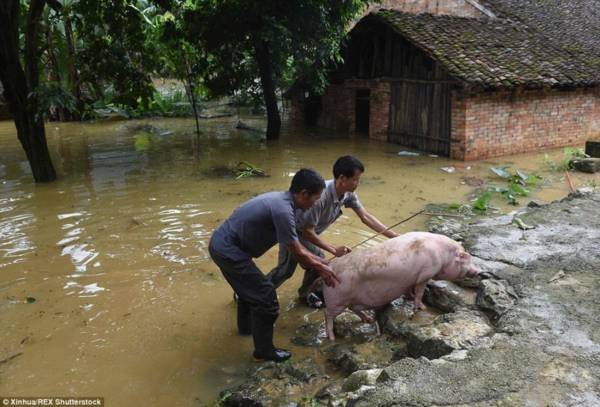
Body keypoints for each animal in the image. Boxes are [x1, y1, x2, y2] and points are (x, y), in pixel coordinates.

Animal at [322, 233, 480, 342]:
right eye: (465, 258)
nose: (479, 271)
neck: (443, 255)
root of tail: (330, 267)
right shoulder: (425, 274)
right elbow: (420, 291)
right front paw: (422, 307)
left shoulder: (411, 280)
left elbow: (409, 290)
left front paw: (409, 298)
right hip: (336, 300)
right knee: (328, 315)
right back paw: (332, 338)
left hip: (352, 300)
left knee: (353, 308)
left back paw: (369, 320)